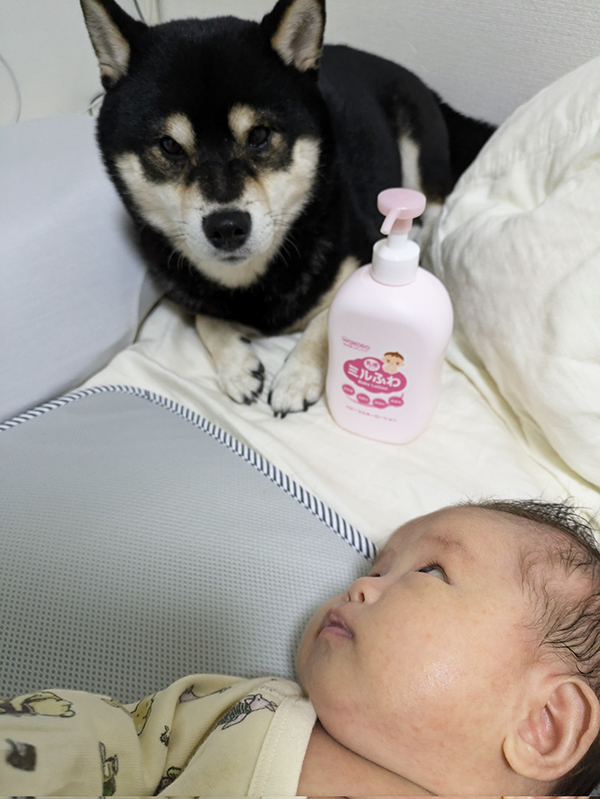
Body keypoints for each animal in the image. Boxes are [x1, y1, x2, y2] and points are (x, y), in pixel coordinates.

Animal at [78, 0, 492, 416]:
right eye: (168, 146)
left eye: (260, 135)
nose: (226, 226)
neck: (250, 279)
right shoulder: (187, 292)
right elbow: (205, 318)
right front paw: (236, 367)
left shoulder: (358, 259)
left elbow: (325, 323)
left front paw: (296, 377)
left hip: (417, 151)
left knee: (433, 208)